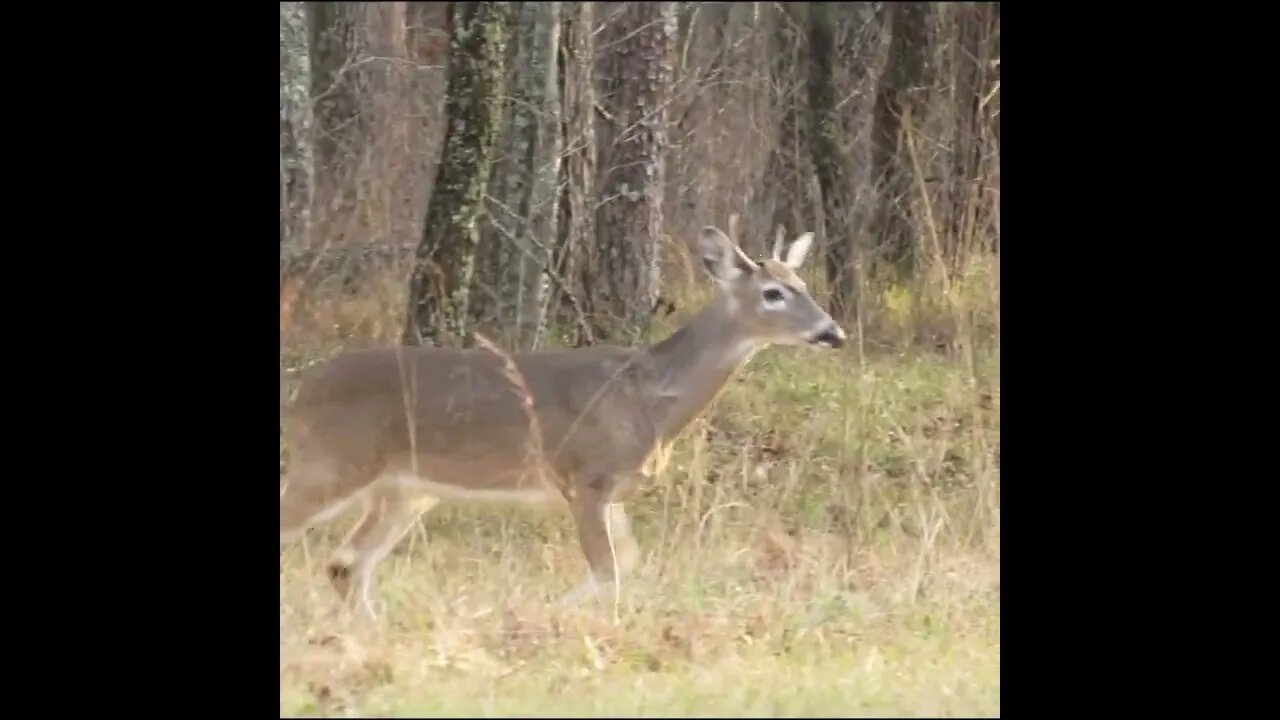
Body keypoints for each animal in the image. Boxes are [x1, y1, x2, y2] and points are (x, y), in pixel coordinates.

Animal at [279, 225, 847, 621]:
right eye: (774, 292)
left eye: (802, 283)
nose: (832, 332)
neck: (649, 397)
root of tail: (301, 391)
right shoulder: (585, 477)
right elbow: (608, 572)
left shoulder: (614, 491)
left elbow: (626, 564)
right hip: (333, 461)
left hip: (405, 490)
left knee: (346, 564)